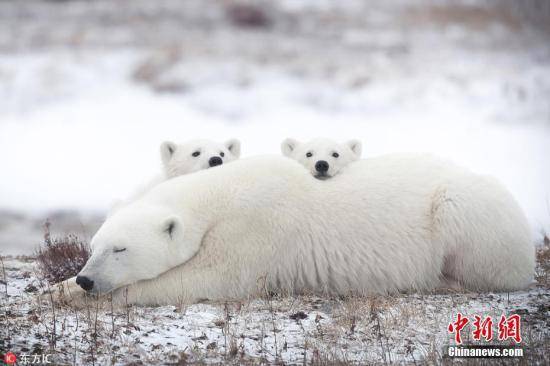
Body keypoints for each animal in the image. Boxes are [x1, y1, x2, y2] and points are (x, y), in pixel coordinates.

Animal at [68, 154, 536, 306]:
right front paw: (63, 289)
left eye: (121, 250)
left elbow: (209, 277)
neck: (225, 190)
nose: (87, 279)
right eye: (94, 246)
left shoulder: (257, 228)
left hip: (465, 209)